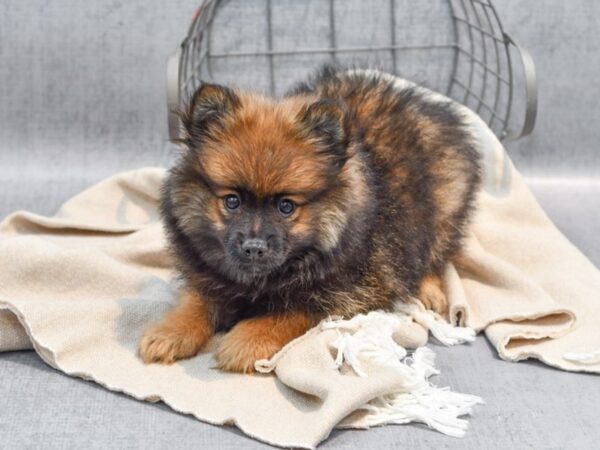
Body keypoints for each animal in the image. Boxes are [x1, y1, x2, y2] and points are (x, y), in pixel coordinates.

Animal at [138, 65, 480, 370]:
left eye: (286, 206)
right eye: (232, 201)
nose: (254, 247)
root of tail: (425, 103)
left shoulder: (355, 289)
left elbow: (296, 310)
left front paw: (247, 340)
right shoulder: (209, 273)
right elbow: (197, 299)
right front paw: (170, 331)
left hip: (444, 207)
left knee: (436, 252)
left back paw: (429, 289)